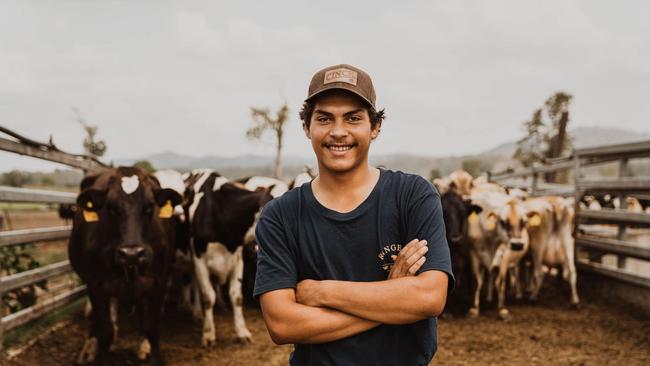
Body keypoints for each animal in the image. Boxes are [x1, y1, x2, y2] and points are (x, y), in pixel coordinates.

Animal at [184, 169, 272, 346]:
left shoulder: (237, 260)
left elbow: (236, 297)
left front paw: (242, 332)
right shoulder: (199, 259)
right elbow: (207, 296)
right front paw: (208, 334)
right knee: (195, 284)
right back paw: (197, 313)